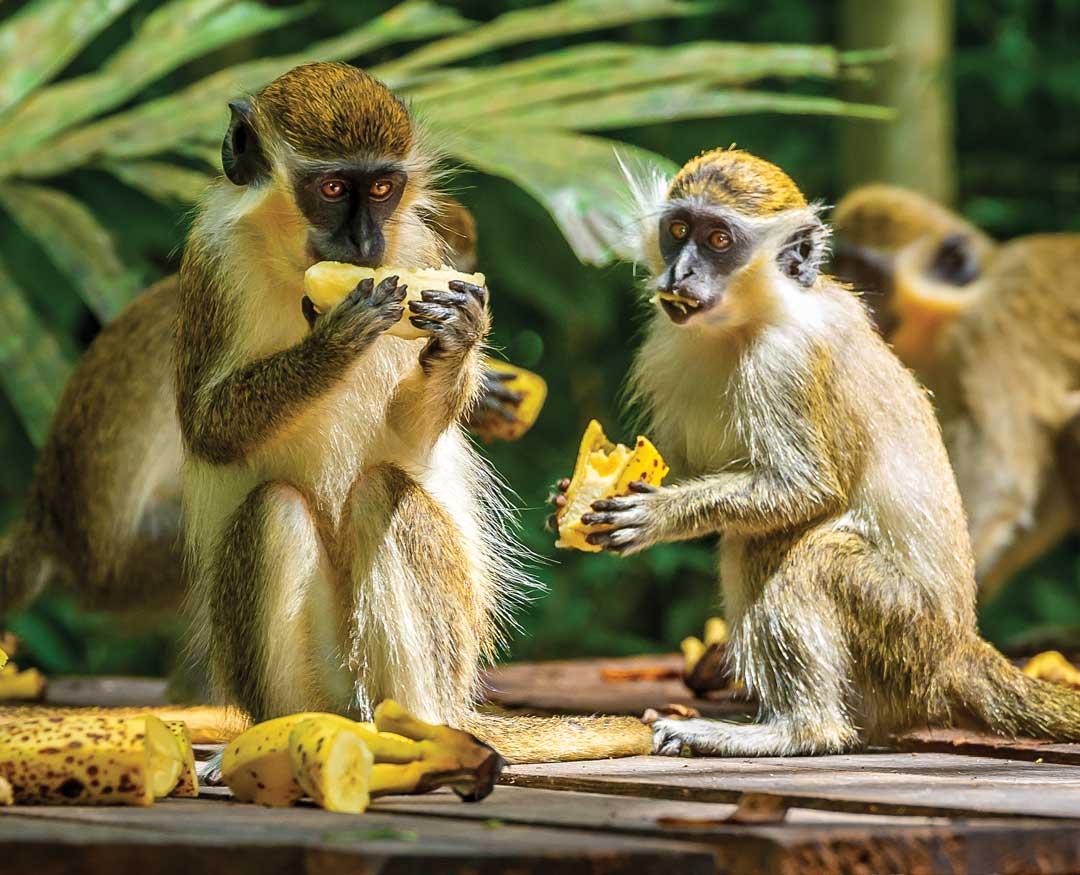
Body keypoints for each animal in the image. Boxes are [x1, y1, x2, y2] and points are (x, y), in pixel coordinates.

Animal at [171, 62, 649, 763]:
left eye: (383, 188)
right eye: (333, 187)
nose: (365, 241)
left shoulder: (424, 248)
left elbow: (411, 433)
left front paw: (460, 333)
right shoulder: (209, 263)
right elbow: (205, 426)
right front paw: (335, 342)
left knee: (382, 492)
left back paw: (423, 733)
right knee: (271, 512)